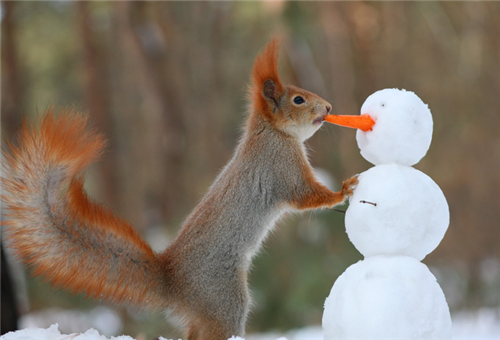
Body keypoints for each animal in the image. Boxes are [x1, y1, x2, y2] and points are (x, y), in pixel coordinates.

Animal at [1, 40, 358, 340]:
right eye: (298, 99)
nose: (328, 108)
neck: (272, 132)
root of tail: (172, 281)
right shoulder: (281, 168)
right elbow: (305, 196)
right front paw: (343, 190)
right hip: (224, 301)